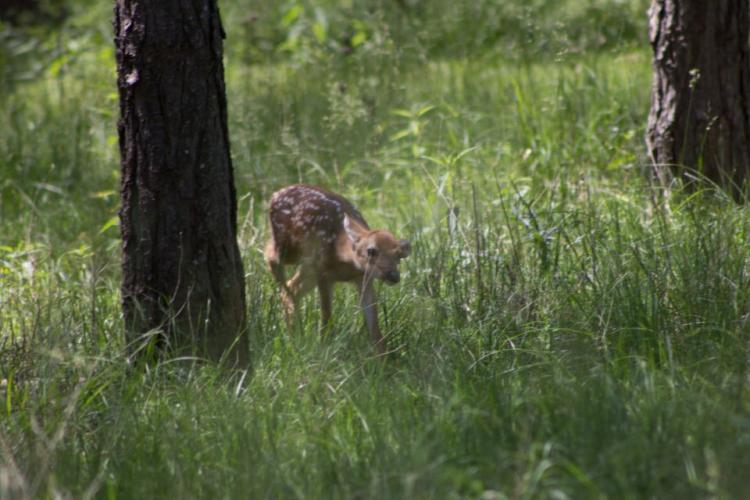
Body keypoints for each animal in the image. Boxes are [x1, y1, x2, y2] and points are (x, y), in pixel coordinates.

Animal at [264, 184, 411, 354]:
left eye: (399, 255)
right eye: (371, 251)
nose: (393, 276)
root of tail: (276, 194)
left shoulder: (363, 279)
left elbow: (374, 326)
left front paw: (382, 357)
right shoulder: (323, 273)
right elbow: (326, 318)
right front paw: (325, 347)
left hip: (308, 266)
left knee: (291, 287)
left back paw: (295, 334)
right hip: (290, 248)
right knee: (269, 253)